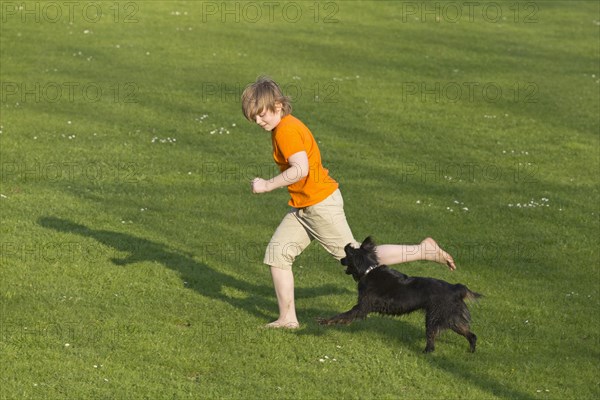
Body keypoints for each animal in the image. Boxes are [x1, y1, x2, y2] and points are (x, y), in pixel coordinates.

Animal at [318, 236, 482, 352]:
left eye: (346, 257)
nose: (340, 260)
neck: (369, 270)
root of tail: (455, 288)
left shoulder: (361, 307)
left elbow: (342, 315)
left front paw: (325, 321)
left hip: (435, 317)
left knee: (432, 341)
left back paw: (425, 352)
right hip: (450, 318)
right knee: (471, 335)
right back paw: (471, 351)